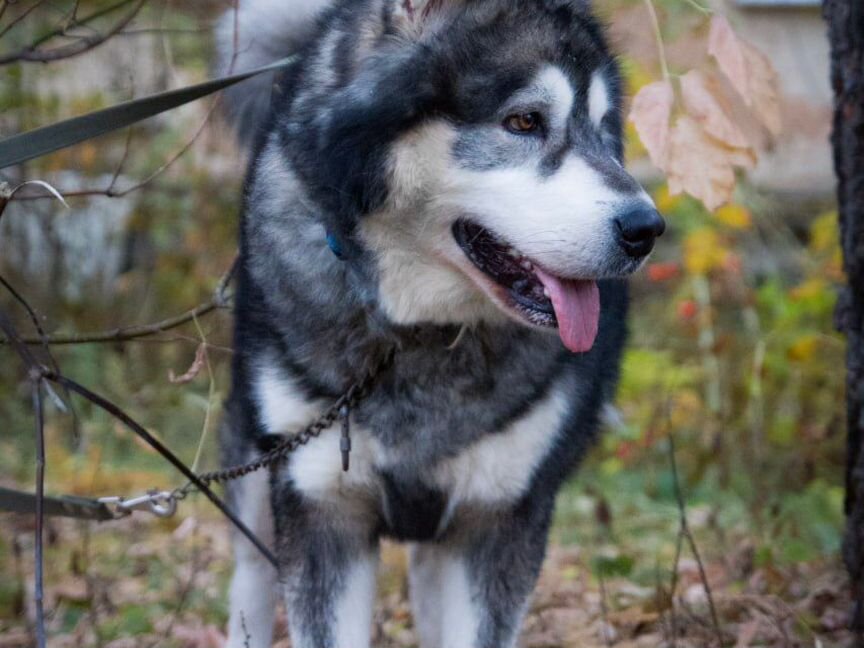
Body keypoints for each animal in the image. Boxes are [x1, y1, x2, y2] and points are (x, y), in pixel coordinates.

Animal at [216, 1, 660, 648]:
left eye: (604, 130)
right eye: (524, 121)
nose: (646, 229)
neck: (419, 331)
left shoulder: (498, 516)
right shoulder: (322, 508)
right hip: (257, 474)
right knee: (250, 567)